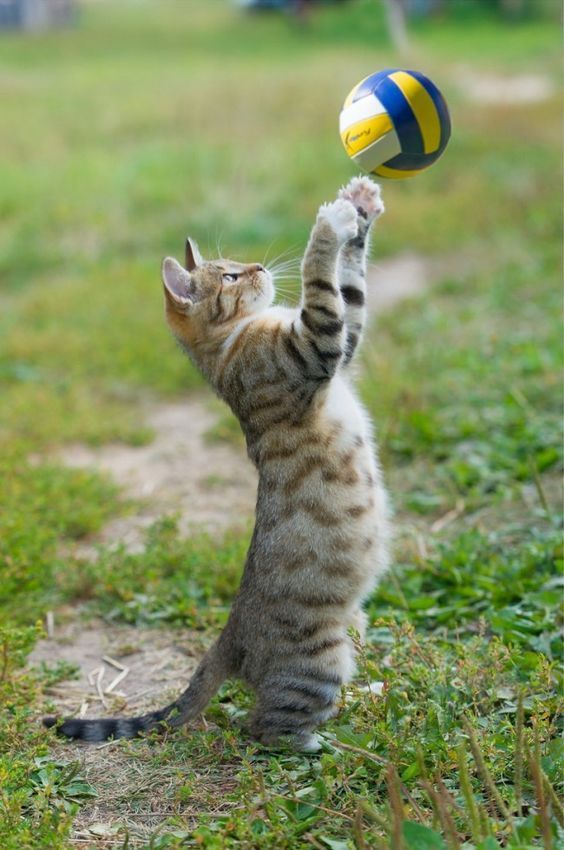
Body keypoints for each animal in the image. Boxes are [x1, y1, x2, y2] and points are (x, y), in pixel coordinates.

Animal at [44, 174, 390, 748]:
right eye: (229, 275)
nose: (260, 268)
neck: (230, 346)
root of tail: (229, 637)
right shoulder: (314, 346)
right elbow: (321, 278)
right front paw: (331, 223)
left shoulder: (342, 345)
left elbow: (350, 287)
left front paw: (359, 204)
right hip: (319, 662)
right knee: (266, 730)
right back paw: (331, 748)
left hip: (351, 631)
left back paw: (366, 698)